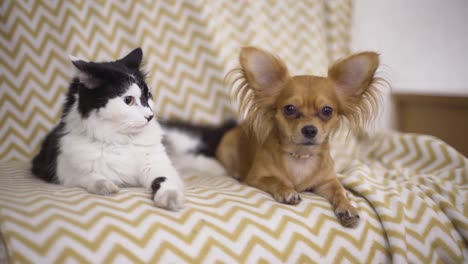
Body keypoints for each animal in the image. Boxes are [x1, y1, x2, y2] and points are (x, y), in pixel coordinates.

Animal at [30, 48, 203, 211]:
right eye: (128, 100)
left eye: (148, 95)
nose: (150, 116)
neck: (121, 140)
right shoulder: (63, 169)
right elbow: (91, 177)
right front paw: (106, 187)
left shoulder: (157, 165)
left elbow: (165, 181)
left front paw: (170, 199)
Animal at [218, 46, 382, 227]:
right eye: (289, 109)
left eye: (327, 111)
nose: (310, 129)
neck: (301, 155)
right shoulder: (256, 178)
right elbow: (275, 180)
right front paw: (287, 191)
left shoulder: (326, 182)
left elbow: (340, 191)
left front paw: (347, 207)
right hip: (226, 145)